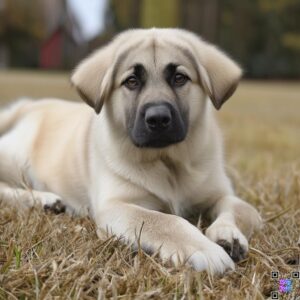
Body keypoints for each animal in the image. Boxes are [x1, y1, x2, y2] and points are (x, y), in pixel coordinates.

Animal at [0, 28, 262, 274]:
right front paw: (203, 249)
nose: (158, 118)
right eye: (132, 82)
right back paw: (42, 199)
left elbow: (239, 208)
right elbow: (165, 220)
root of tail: (29, 106)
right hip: (16, 160)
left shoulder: (221, 193)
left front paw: (227, 236)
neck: (167, 162)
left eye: (179, 78)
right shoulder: (115, 207)